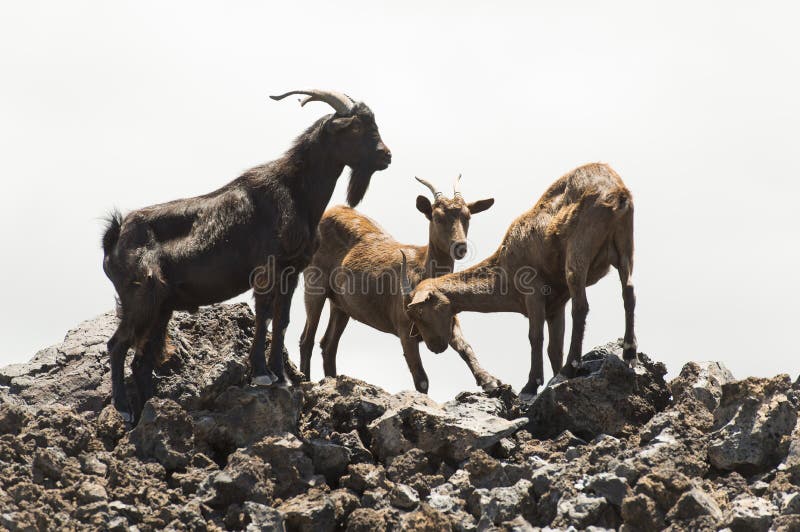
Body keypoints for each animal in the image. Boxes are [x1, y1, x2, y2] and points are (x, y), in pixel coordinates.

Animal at [102, 89, 391, 422]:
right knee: (117, 345)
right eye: (355, 127)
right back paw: (124, 409)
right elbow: (264, 315)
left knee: (142, 361)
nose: (386, 155)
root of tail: (115, 237)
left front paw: (282, 376)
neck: (295, 191)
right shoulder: (266, 269)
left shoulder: (291, 271)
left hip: (161, 307)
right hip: (140, 297)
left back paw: (152, 409)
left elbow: (282, 320)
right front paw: (262, 373)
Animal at [299, 175, 498, 393]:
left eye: (467, 216)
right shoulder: (404, 327)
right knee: (307, 339)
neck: (421, 270)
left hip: (341, 304)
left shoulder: (449, 321)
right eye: (436, 217)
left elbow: (465, 347)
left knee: (328, 344)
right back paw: (304, 381)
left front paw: (489, 381)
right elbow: (421, 379)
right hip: (314, 284)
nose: (459, 246)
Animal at [402, 163, 637, 401]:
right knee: (629, 292)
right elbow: (554, 347)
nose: (435, 347)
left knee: (581, 306)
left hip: (578, 249)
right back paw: (629, 351)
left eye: (418, 312)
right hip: (625, 245)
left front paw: (532, 384)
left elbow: (535, 336)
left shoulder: (533, 289)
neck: (505, 269)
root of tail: (616, 192)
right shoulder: (556, 304)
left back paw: (571, 366)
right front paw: (552, 379)